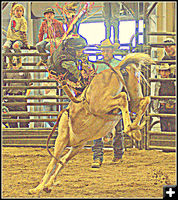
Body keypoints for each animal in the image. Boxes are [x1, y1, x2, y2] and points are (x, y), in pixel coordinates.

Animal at [28, 52, 154, 195]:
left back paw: (130, 128)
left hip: (101, 104)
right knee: (144, 101)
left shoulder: (61, 139)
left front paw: (37, 188)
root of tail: (117, 67)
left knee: (123, 98)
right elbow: (62, 162)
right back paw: (136, 130)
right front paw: (48, 185)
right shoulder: (77, 146)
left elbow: (52, 164)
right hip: (133, 96)